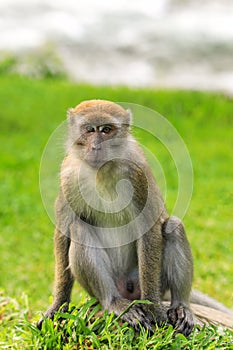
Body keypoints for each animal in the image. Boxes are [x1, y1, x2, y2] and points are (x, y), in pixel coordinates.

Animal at [37, 99, 230, 336]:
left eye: (107, 130)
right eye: (90, 130)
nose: (96, 146)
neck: (101, 171)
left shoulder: (137, 176)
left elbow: (149, 229)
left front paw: (154, 309)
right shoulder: (69, 178)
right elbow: (64, 231)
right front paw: (58, 306)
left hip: (149, 281)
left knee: (173, 227)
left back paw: (180, 306)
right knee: (79, 230)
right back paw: (113, 302)